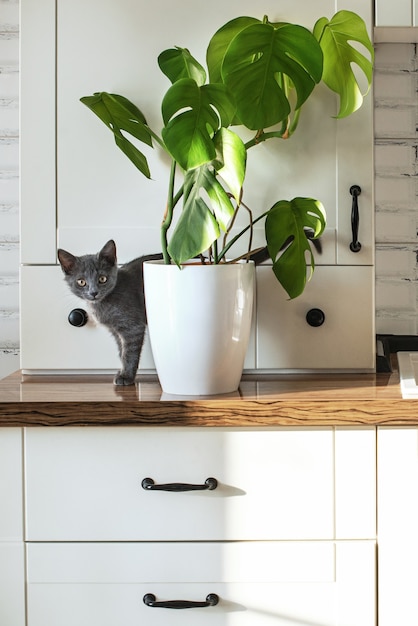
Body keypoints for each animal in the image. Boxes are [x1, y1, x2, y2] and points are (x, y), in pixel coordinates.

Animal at [58, 239, 162, 386]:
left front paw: (126, 376)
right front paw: (123, 371)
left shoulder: (132, 327)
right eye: (81, 282)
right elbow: (121, 351)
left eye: (102, 279)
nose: (93, 292)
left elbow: (129, 352)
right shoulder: (115, 331)